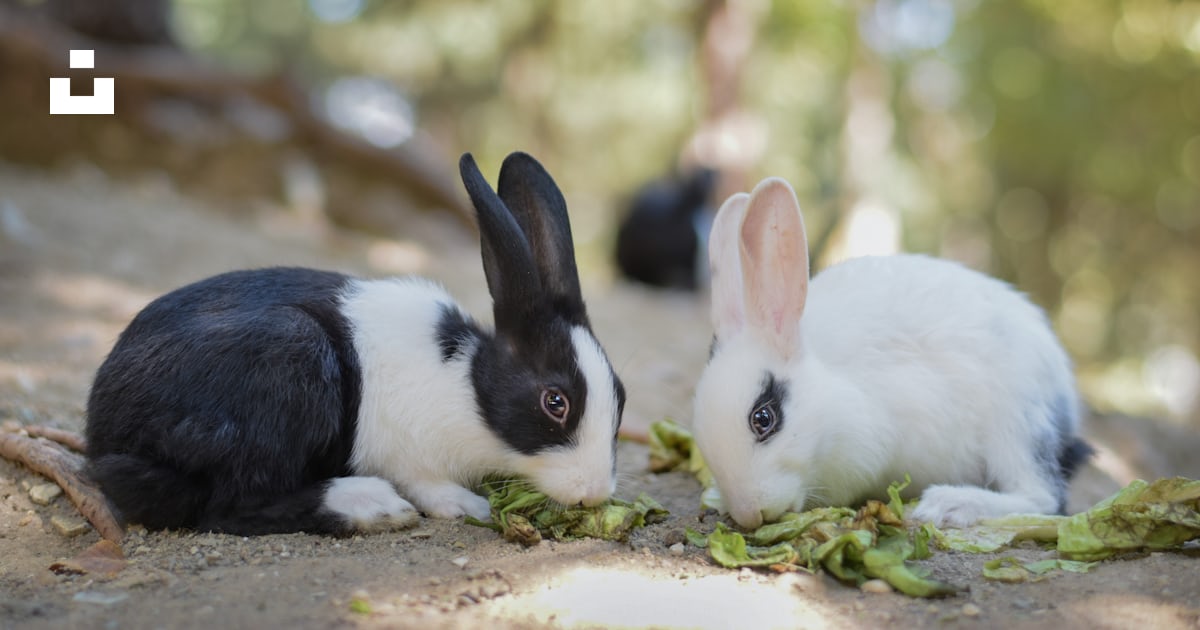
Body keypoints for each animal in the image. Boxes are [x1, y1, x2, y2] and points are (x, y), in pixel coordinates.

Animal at [84, 151, 627, 536]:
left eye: (621, 396)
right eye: (555, 402)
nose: (594, 494)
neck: (467, 387)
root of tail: (103, 435)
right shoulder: (409, 451)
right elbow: (426, 483)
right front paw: (467, 504)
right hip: (290, 357)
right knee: (230, 505)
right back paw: (371, 506)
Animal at [691, 176, 1092, 530]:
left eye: (763, 418)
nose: (748, 515)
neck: (831, 389)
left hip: (1018, 424)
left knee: (1043, 498)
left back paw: (948, 504)